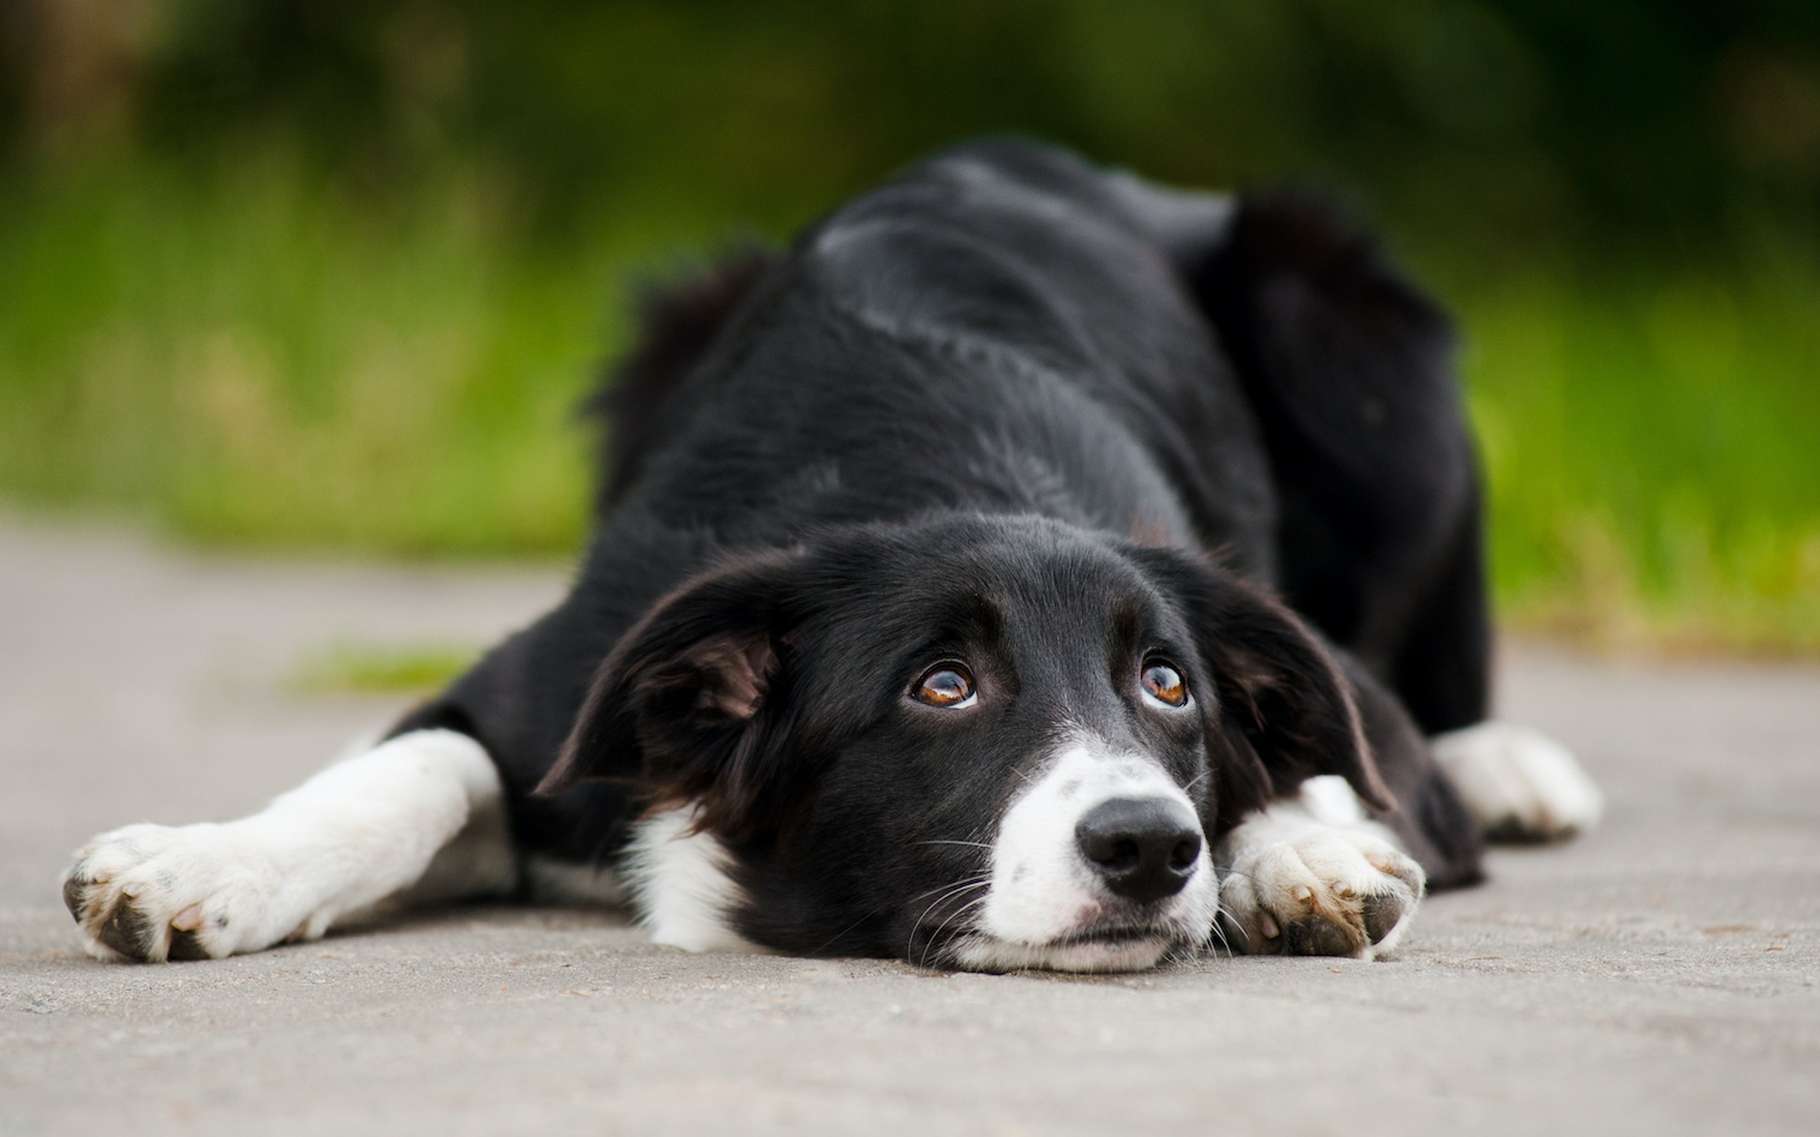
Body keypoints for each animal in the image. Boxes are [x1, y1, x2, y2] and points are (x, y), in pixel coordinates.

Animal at [56, 137, 1601, 967]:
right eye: (939, 687)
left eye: (1168, 685)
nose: (1148, 846)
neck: (938, 475)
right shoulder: (558, 676)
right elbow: (415, 770)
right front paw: (202, 867)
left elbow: (1307, 752)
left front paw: (1303, 852)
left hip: (1359, 335)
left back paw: (1504, 765)